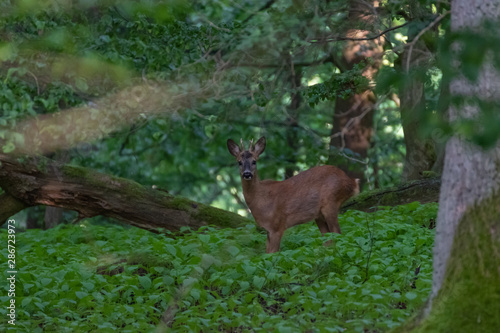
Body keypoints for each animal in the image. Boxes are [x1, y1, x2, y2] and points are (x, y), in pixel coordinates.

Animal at [227, 136, 360, 253]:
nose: (247, 174)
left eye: (254, 161)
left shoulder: (277, 225)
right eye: (239, 162)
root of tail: (352, 182)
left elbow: (273, 253)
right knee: (328, 239)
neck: (261, 200)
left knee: (338, 233)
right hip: (319, 215)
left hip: (331, 202)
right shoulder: (268, 230)